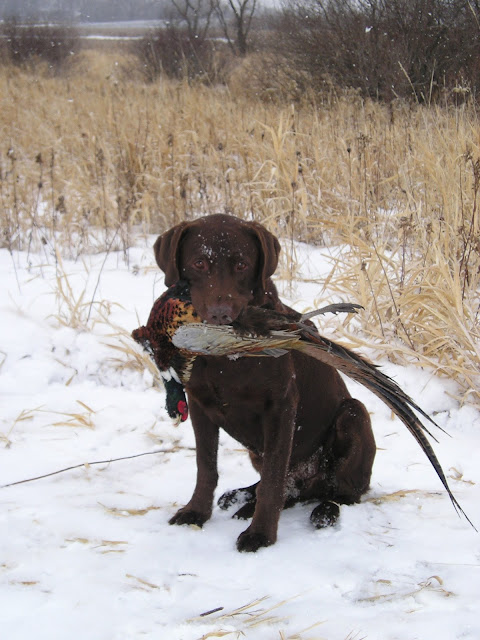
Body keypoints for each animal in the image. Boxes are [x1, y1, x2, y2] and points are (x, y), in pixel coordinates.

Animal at [154, 214, 376, 552]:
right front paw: (196, 511)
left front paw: (260, 534)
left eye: (242, 264)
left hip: (354, 414)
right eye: (199, 262)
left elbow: (273, 481)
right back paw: (242, 497)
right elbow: (206, 467)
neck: (226, 359)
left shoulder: (281, 408)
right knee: (290, 489)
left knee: (338, 492)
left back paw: (323, 510)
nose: (221, 315)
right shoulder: (199, 404)